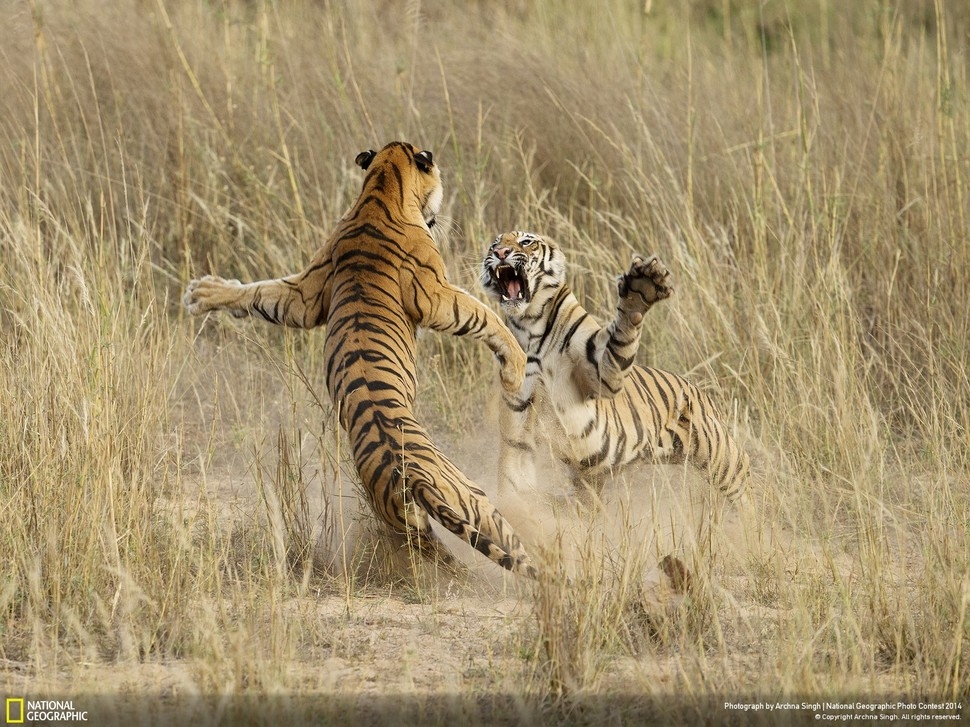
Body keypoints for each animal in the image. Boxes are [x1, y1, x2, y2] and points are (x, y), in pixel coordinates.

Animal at [183, 141, 536, 576]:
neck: (380, 187)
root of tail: (412, 479)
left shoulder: (305, 294)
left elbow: (260, 293)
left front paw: (204, 293)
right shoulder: (436, 295)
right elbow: (485, 316)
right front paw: (516, 367)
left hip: (417, 522)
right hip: (475, 498)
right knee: (513, 548)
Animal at [478, 233, 748, 506]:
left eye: (526, 242)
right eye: (494, 245)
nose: (500, 253)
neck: (530, 324)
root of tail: (702, 393)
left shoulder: (602, 373)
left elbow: (622, 334)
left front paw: (641, 287)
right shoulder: (520, 411)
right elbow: (516, 470)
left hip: (720, 456)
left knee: (746, 485)